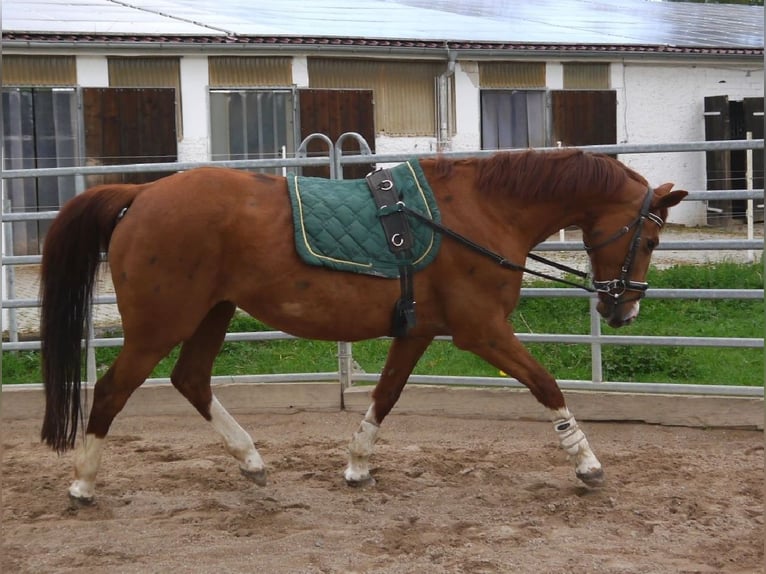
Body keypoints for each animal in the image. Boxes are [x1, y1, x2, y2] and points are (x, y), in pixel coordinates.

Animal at [39, 150, 688, 504]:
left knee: (191, 381)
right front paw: (588, 465)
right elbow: (546, 384)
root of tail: (140, 193)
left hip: (212, 314)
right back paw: (83, 484)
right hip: (161, 322)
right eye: (650, 240)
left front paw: (356, 465)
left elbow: (386, 394)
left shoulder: (420, 332)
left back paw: (251, 460)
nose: (623, 311)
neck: (479, 212)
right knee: (113, 389)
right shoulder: (481, 331)